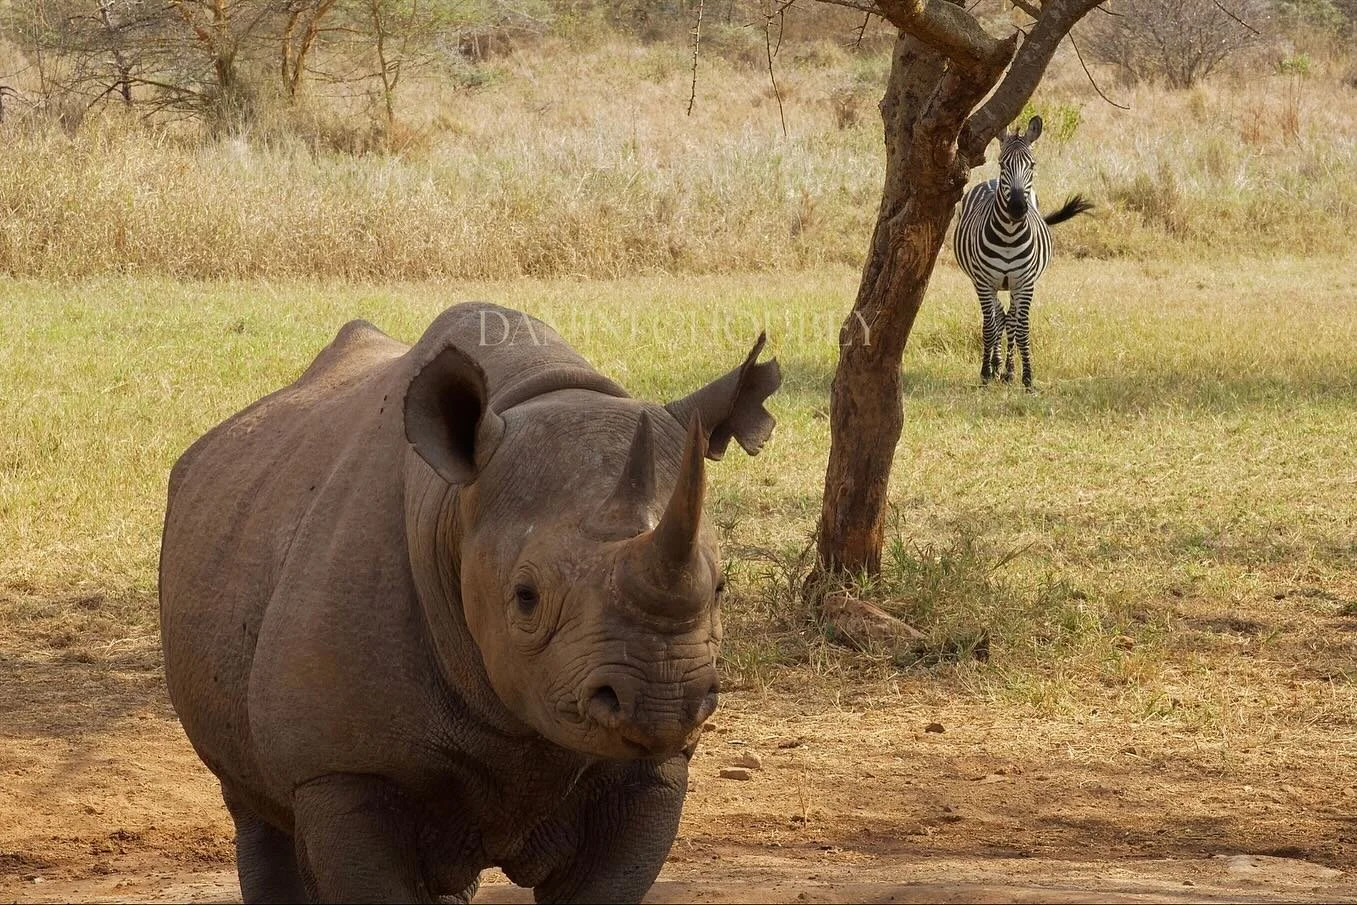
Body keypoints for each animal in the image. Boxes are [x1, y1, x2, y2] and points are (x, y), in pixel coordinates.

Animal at [158, 302, 780, 903]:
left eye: (719, 588)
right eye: (526, 598)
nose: (662, 700)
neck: (456, 507)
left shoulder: (651, 769)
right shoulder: (341, 768)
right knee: (254, 808)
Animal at [953, 116, 1093, 389]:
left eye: (1033, 164)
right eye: (1001, 163)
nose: (1017, 207)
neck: (1009, 234)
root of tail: (991, 181)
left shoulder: (1025, 283)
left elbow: (1022, 328)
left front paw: (1027, 378)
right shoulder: (985, 283)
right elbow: (989, 327)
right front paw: (985, 374)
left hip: (1014, 285)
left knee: (1009, 319)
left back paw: (1007, 371)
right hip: (982, 281)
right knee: (997, 317)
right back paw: (995, 367)